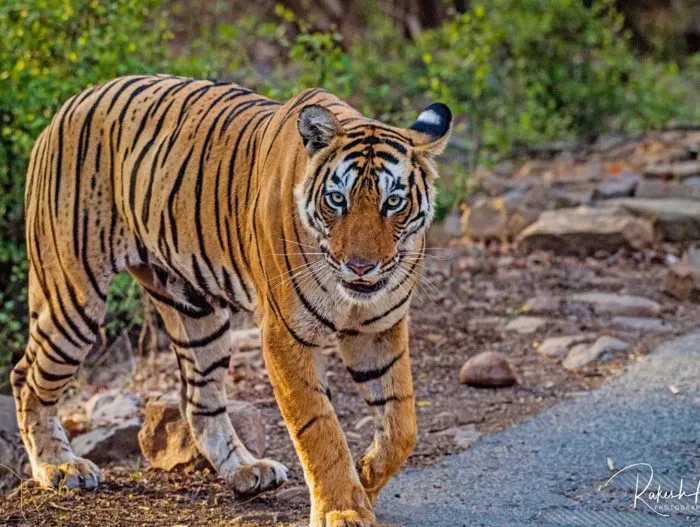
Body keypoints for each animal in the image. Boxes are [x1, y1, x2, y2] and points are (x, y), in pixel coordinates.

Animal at [12, 74, 451, 526]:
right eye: (337, 200)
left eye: (393, 202)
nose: (360, 267)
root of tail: (71, 102)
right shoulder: (285, 335)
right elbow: (319, 426)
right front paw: (341, 509)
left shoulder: (379, 330)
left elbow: (402, 424)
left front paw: (364, 477)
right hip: (71, 297)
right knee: (26, 375)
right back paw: (59, 466)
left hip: (195, 312)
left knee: (199, 402)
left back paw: (246, 470)